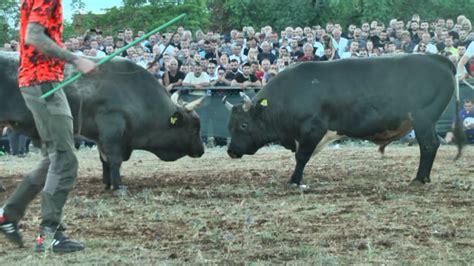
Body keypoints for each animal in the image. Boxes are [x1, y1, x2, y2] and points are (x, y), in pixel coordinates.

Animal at [1, 51, 206, 189]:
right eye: (193, 128)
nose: (201, 150)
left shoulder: (101, 136)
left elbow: (104, 160)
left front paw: (107, 184)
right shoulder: (112, 130)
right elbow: (114, 159)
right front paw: (119, 186)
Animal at [225, 53, 462, 186]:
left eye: (243, 124)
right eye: (230, 126)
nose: (231, 151)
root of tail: (438, 59)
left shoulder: (313, 129)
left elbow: (302, 156)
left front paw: (294, 180)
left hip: (423, 119)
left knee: (429, 145)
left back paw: (419, 179)